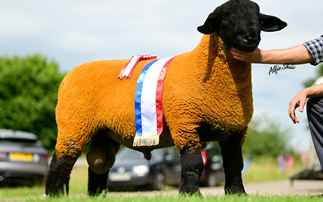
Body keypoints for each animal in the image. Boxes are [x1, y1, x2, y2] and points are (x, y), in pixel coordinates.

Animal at [45, 0, 288, 196]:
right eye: (227, 17)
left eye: (257, 18)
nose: (251, 37)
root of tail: (69, 75)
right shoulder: (185, 122)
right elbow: (193, 164)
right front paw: (190, 194)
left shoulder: (236, 129)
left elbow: (235, 164)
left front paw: (237, 193)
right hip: (73, 123)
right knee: (62, 160)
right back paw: (55, 194)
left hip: (104, 133)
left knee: (98, 163)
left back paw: (97, 195)